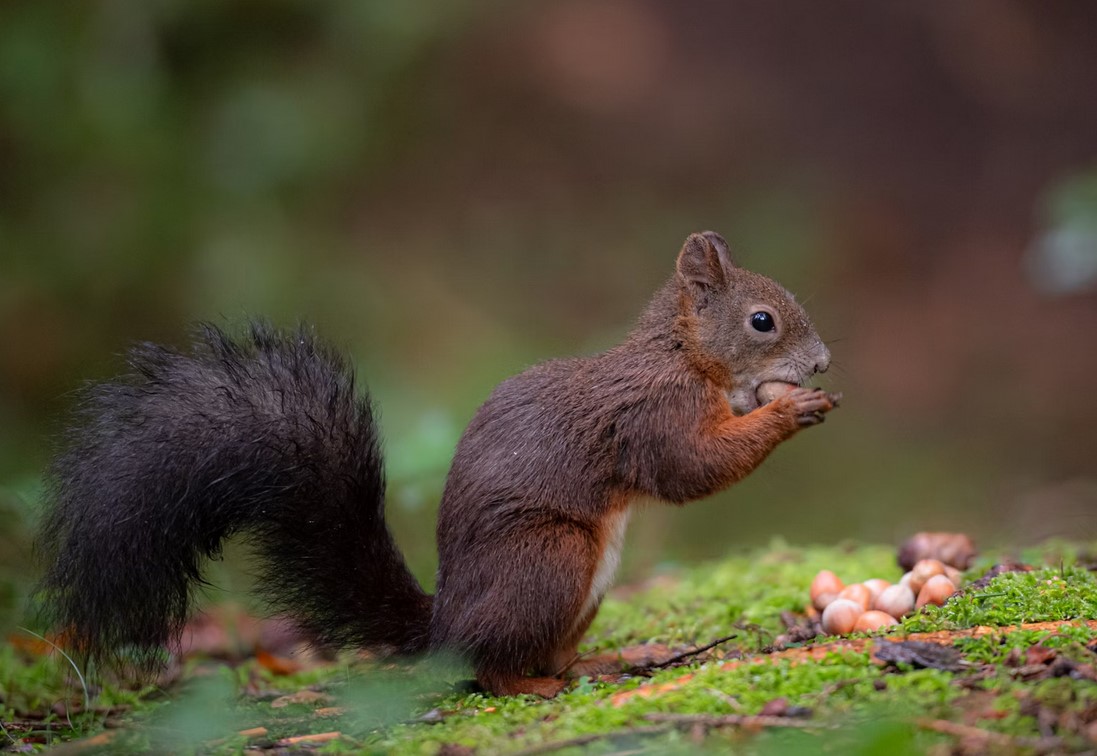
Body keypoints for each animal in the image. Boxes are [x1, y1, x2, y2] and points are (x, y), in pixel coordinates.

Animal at [36, 231, 838, 697]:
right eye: (762, 321)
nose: (823, 362)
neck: (683, 356)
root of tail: (444, 626)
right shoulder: (652, 415)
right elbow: (689, 469)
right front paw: (787, 411)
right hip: (548, 557)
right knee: (492, 668)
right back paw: (531, 688)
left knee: (545, 655)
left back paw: (608, 662)